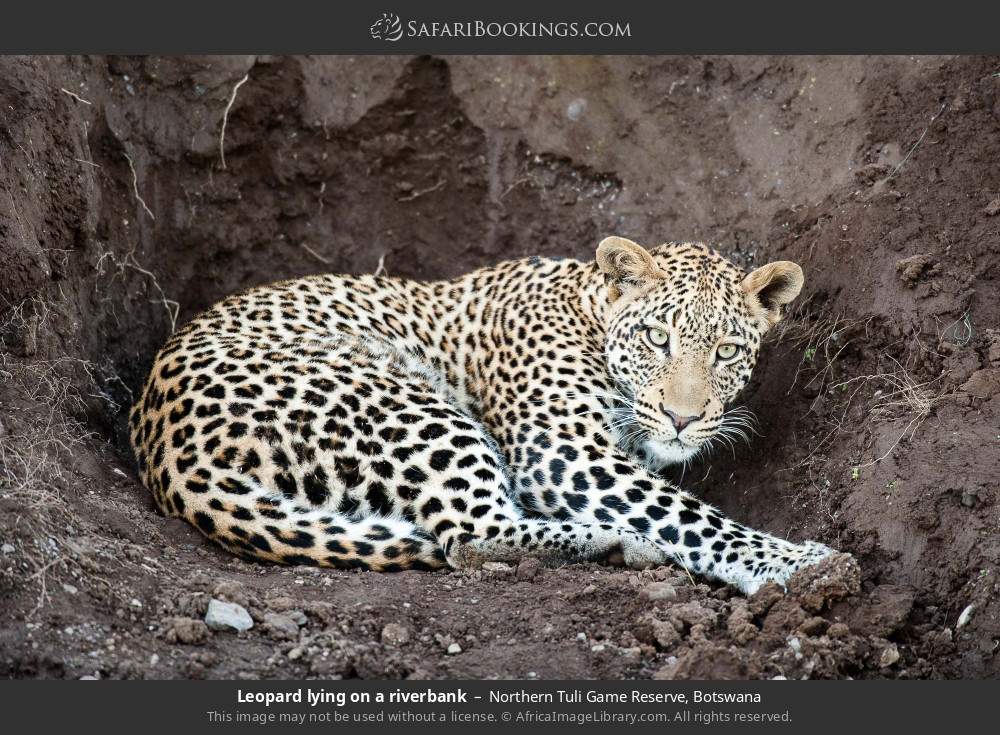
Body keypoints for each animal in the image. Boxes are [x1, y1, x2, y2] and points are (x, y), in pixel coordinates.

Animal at [130, 236, 841, 595]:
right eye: (656, 340)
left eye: (727, 351)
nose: (682, 418)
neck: (587, 308)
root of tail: (167, 455)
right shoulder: (563, 449)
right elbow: (688, 515)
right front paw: (795, 563)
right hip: (405, 404)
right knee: (470, 538)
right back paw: (617, 545)